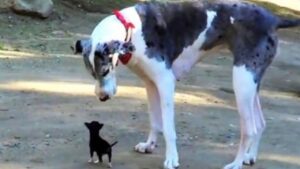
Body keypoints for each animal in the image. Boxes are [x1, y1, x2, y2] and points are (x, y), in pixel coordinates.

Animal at [74, 0, 300, 168]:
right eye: (92, 74)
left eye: (105, 70)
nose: (102, 98)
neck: (132, 29)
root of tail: (273, 18)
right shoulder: (151, 84)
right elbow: (155, 121)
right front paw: (149, 145)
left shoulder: (166, 83)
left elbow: (168, 128)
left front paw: (172, 159)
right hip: (250, 84)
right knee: (260, 123)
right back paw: (249, 157)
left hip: (242, 83)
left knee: (250, 129)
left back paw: (236, 163)